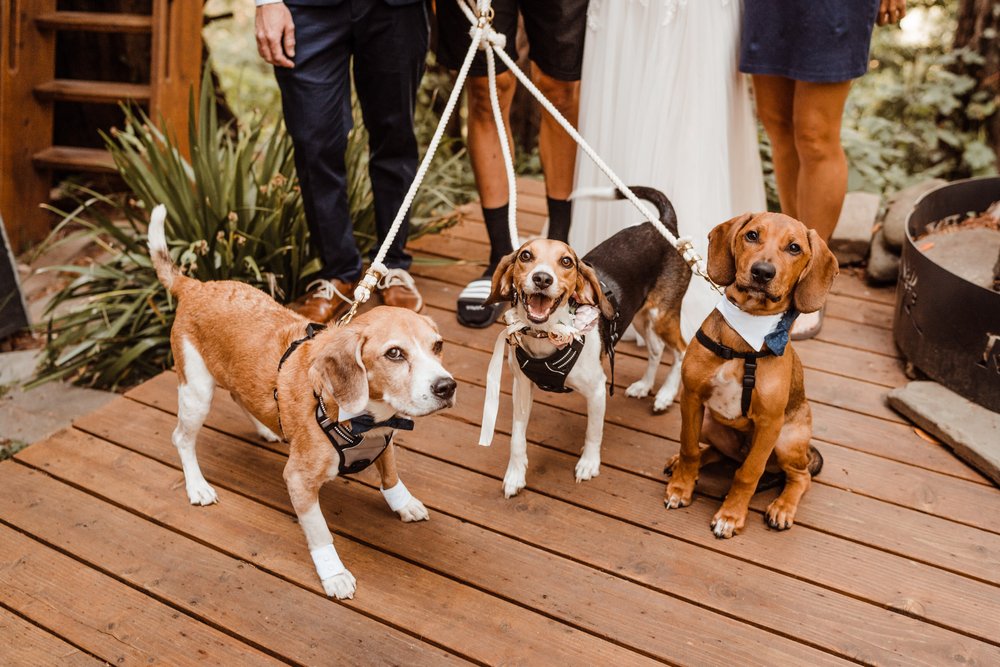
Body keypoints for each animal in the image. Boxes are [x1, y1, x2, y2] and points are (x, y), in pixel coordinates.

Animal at [664, 211, 836, 540]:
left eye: (794, 248)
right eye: (752, 235)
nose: (762, 272)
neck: (744, 339)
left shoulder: (769, 424)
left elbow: (748, 474)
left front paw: (730, 516)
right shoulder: (691, 398)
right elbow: (689, 447)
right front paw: (681, 487)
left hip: (786, 441)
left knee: (799, 475)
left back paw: (782, 508)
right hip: (709, 422)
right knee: (720, 455)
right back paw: (680, 462)